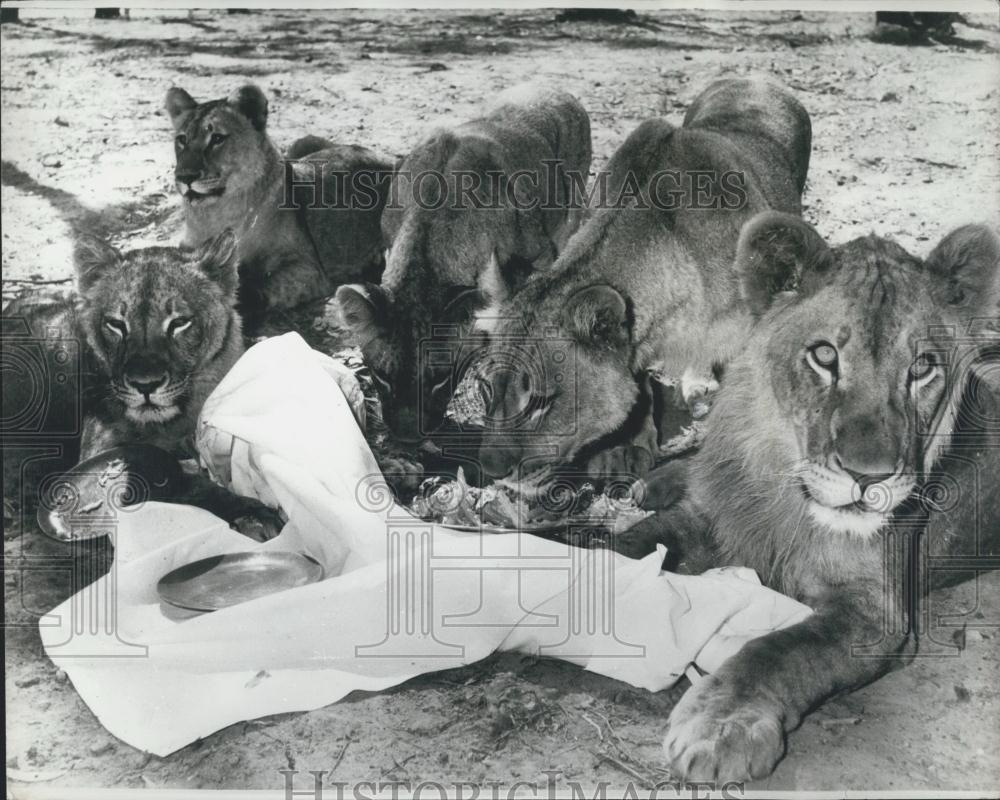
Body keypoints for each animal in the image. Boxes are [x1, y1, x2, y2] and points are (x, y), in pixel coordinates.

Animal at [2, 233, 282, 544]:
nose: (145, 384)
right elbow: (184, 482)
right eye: (116, 324)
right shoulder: (101, 447)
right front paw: (252, 513)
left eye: (179, 323)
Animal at [163, 85, 390, 328]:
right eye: (182, 139)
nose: (184, 176)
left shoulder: (309, 269)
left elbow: (259, 286)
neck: (219, 212)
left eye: (217, 138)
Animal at [624, 212, 1000, 780]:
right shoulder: (703, 517)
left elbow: (781, 650)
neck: (787, 496)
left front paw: (719, 726)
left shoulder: (877, 612)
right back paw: (656, 480)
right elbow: (621, 546)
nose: (870, 477)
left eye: (921, 368)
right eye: (824, 355)